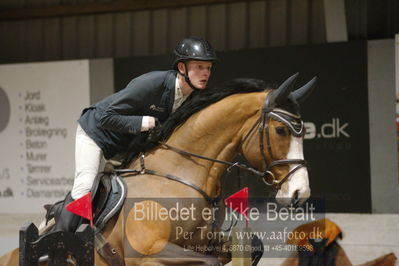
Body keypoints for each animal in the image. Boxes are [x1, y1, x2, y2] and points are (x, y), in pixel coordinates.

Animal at [0, 73, 318, 266]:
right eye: (280, 130)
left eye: (304, 132)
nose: (299, 193)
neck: (181, 176)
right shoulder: (149, 252)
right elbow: (210, 262)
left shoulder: (208, 243)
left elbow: (250, 248)